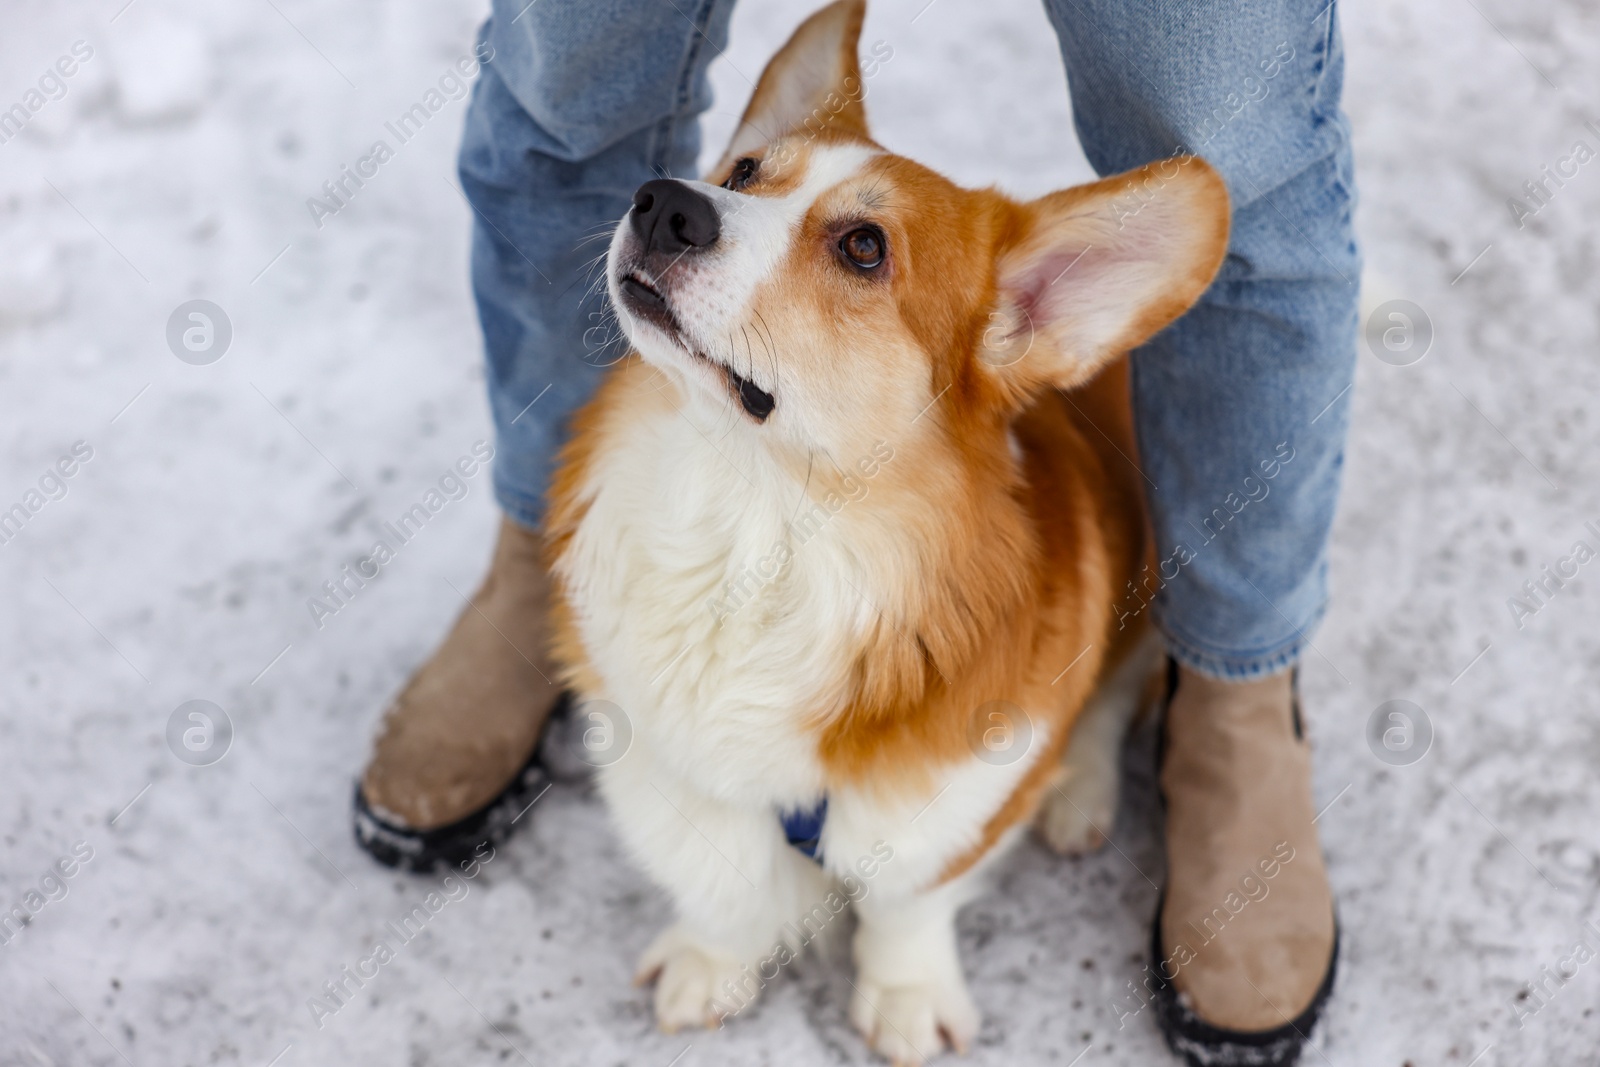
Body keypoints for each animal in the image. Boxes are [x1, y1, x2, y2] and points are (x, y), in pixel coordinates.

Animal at [544, 4, 1228, 1062]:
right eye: (744, 171)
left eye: (864, 247)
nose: (663, 202)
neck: (759, 515)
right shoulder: (667, 755)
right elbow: (720, 879)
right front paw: (712, 962)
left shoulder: (962, 790)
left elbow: (910, 903)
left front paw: (904, 1000)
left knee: (1120, 695)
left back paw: (1079, 794)